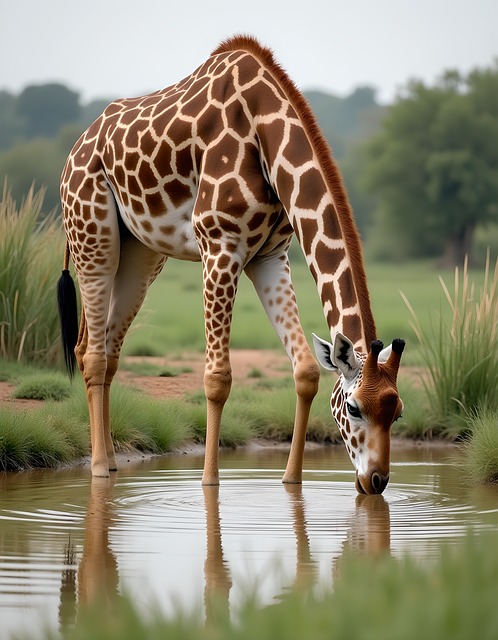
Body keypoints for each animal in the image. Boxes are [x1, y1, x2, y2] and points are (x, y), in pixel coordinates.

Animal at [57, 35, 405, 494]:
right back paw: (98, 468)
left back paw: (114, 463)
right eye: (353, 409)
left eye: (397, 412)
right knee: (93, 353)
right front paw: (209, 482)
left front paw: (292, 481)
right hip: (92, 237)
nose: (376, 480)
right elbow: (217, 378)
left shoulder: (271, 255)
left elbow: (306, 370)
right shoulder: (221, 246)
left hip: (141, 255)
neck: (265, 135)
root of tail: (76, 148)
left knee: (103, 348)